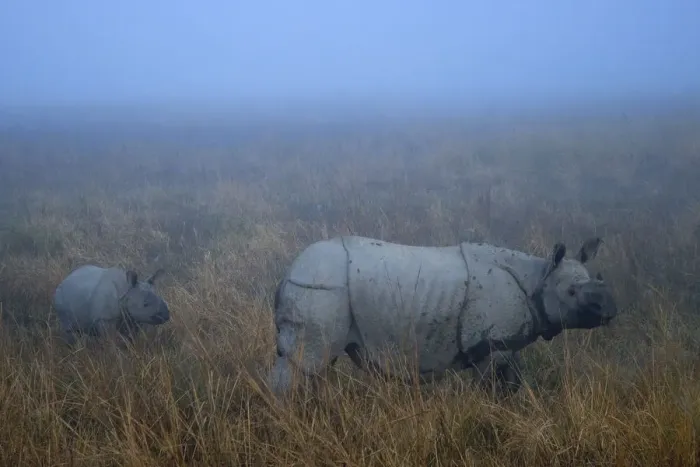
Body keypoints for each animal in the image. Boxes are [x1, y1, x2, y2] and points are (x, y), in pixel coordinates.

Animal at [268, 235, 617, 396]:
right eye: (572, 293)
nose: (611, 309)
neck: (539, 277)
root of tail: (287, 274)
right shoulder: (488, 346)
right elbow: (492, 389)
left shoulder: (505, 342)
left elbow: (514, 383)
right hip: (322, 288)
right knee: (304, 363)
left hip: (320, 288)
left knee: (314, 366)